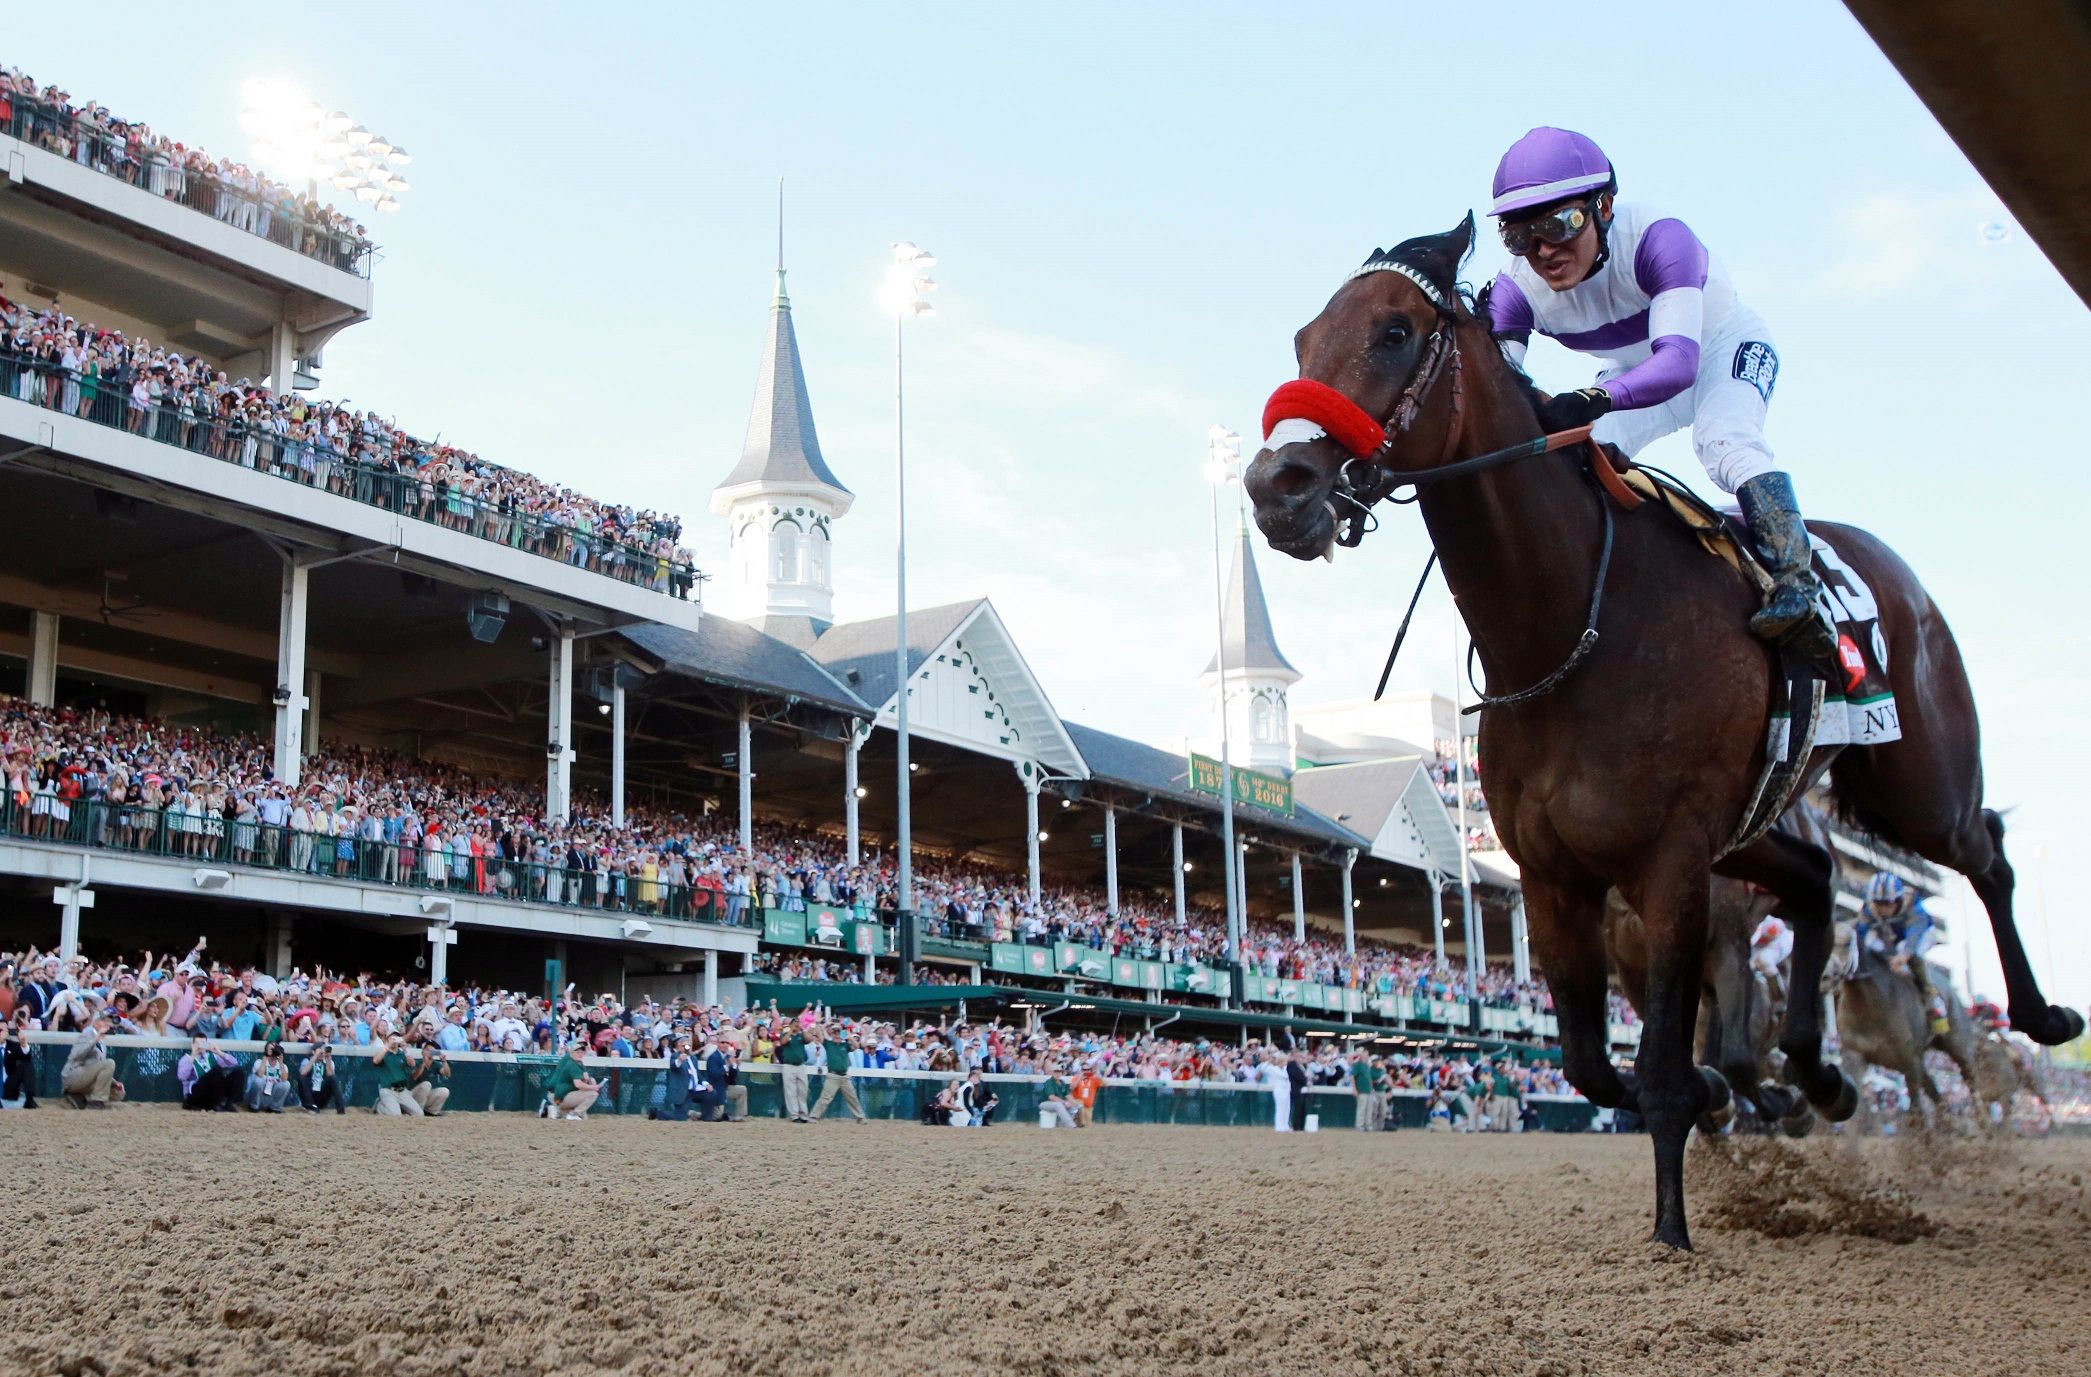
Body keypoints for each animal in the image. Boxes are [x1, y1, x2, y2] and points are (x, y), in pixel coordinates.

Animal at [1246, 213, 2082, 1253]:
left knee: (1988, 852)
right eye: (1299, 343)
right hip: (1761, 828)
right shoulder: (1555, 878)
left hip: (1918, 783)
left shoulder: (1673, 862)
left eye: (1394, 331)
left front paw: (1673, 1228)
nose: (1275, 485)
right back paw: (1819, 1072)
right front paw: (1735, 1091)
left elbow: (1656, 1070)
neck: (1571, 624)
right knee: (1817, 881)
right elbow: (1594, 1065)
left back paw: (2040, 1014)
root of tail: (1889, 568)